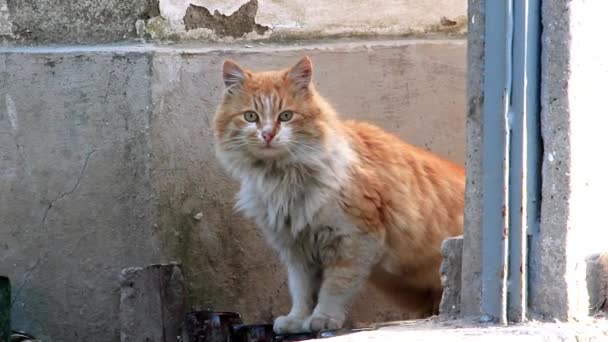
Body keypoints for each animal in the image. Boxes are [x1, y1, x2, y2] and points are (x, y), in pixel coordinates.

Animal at [215, 56, 466, 334]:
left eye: (286, 116)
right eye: (250, 116)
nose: (268, 134)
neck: (282, 178)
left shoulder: (354, 240)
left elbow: (334, 289)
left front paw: (323, 318)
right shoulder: (297, 250)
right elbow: (301, 291)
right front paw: (296, 320)